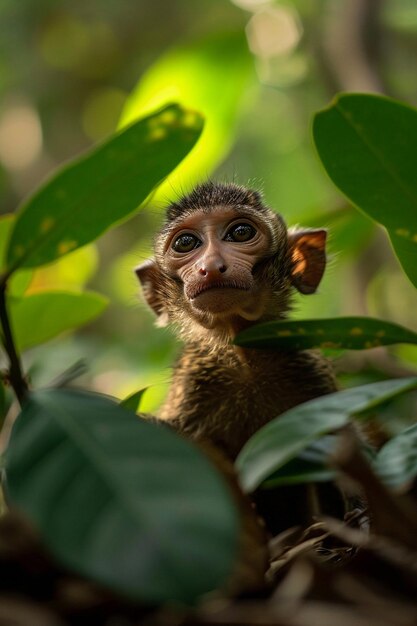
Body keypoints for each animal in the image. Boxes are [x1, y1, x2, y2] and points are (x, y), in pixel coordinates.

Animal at [136, 182, 348, 536]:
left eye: (240, 232)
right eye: (185, 243)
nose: (210, 266)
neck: (244, 359)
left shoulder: (310, 372)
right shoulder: (192, 385)